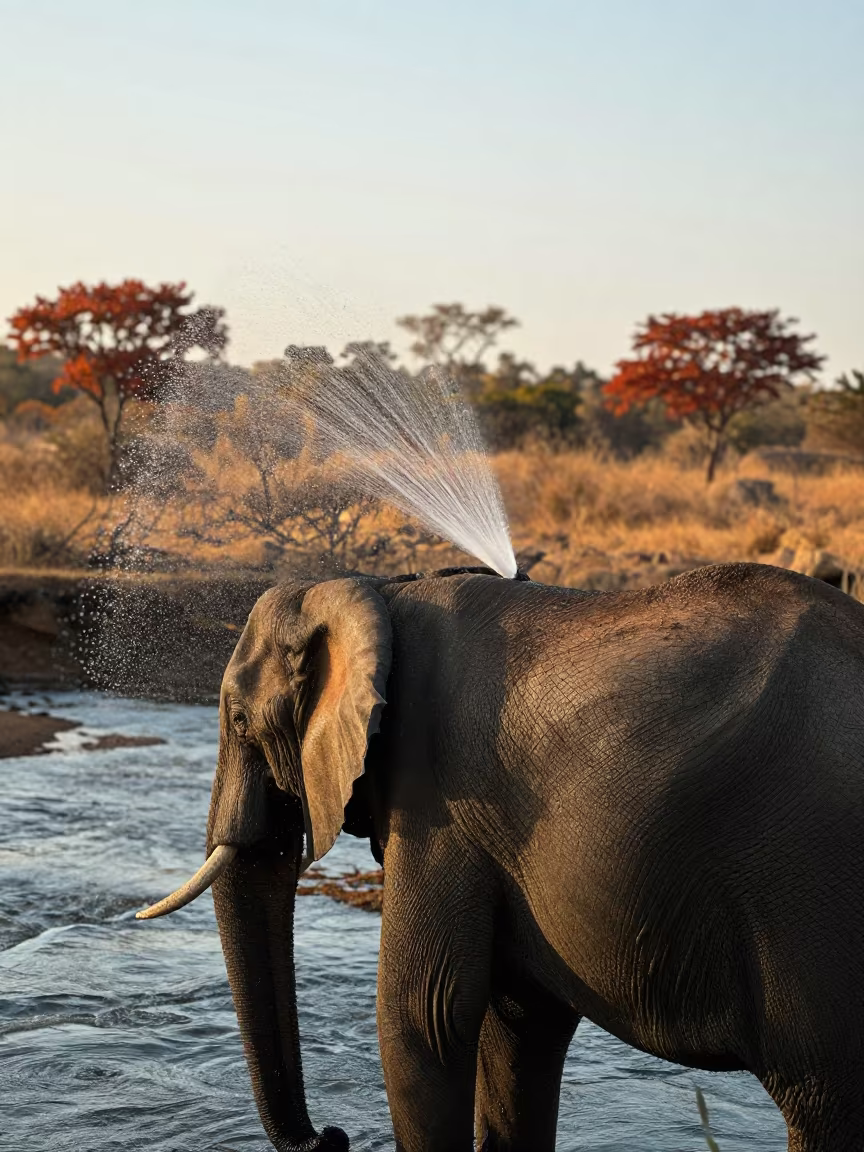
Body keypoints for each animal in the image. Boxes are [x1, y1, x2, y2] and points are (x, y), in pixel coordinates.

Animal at [138, 562, 864, 1151]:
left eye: (237, 718)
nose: (333, 1138)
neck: (380, 593)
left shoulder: (436, 801)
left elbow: (423, 1015)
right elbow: (519, 1017)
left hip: (812, 896)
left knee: (824, 1102)